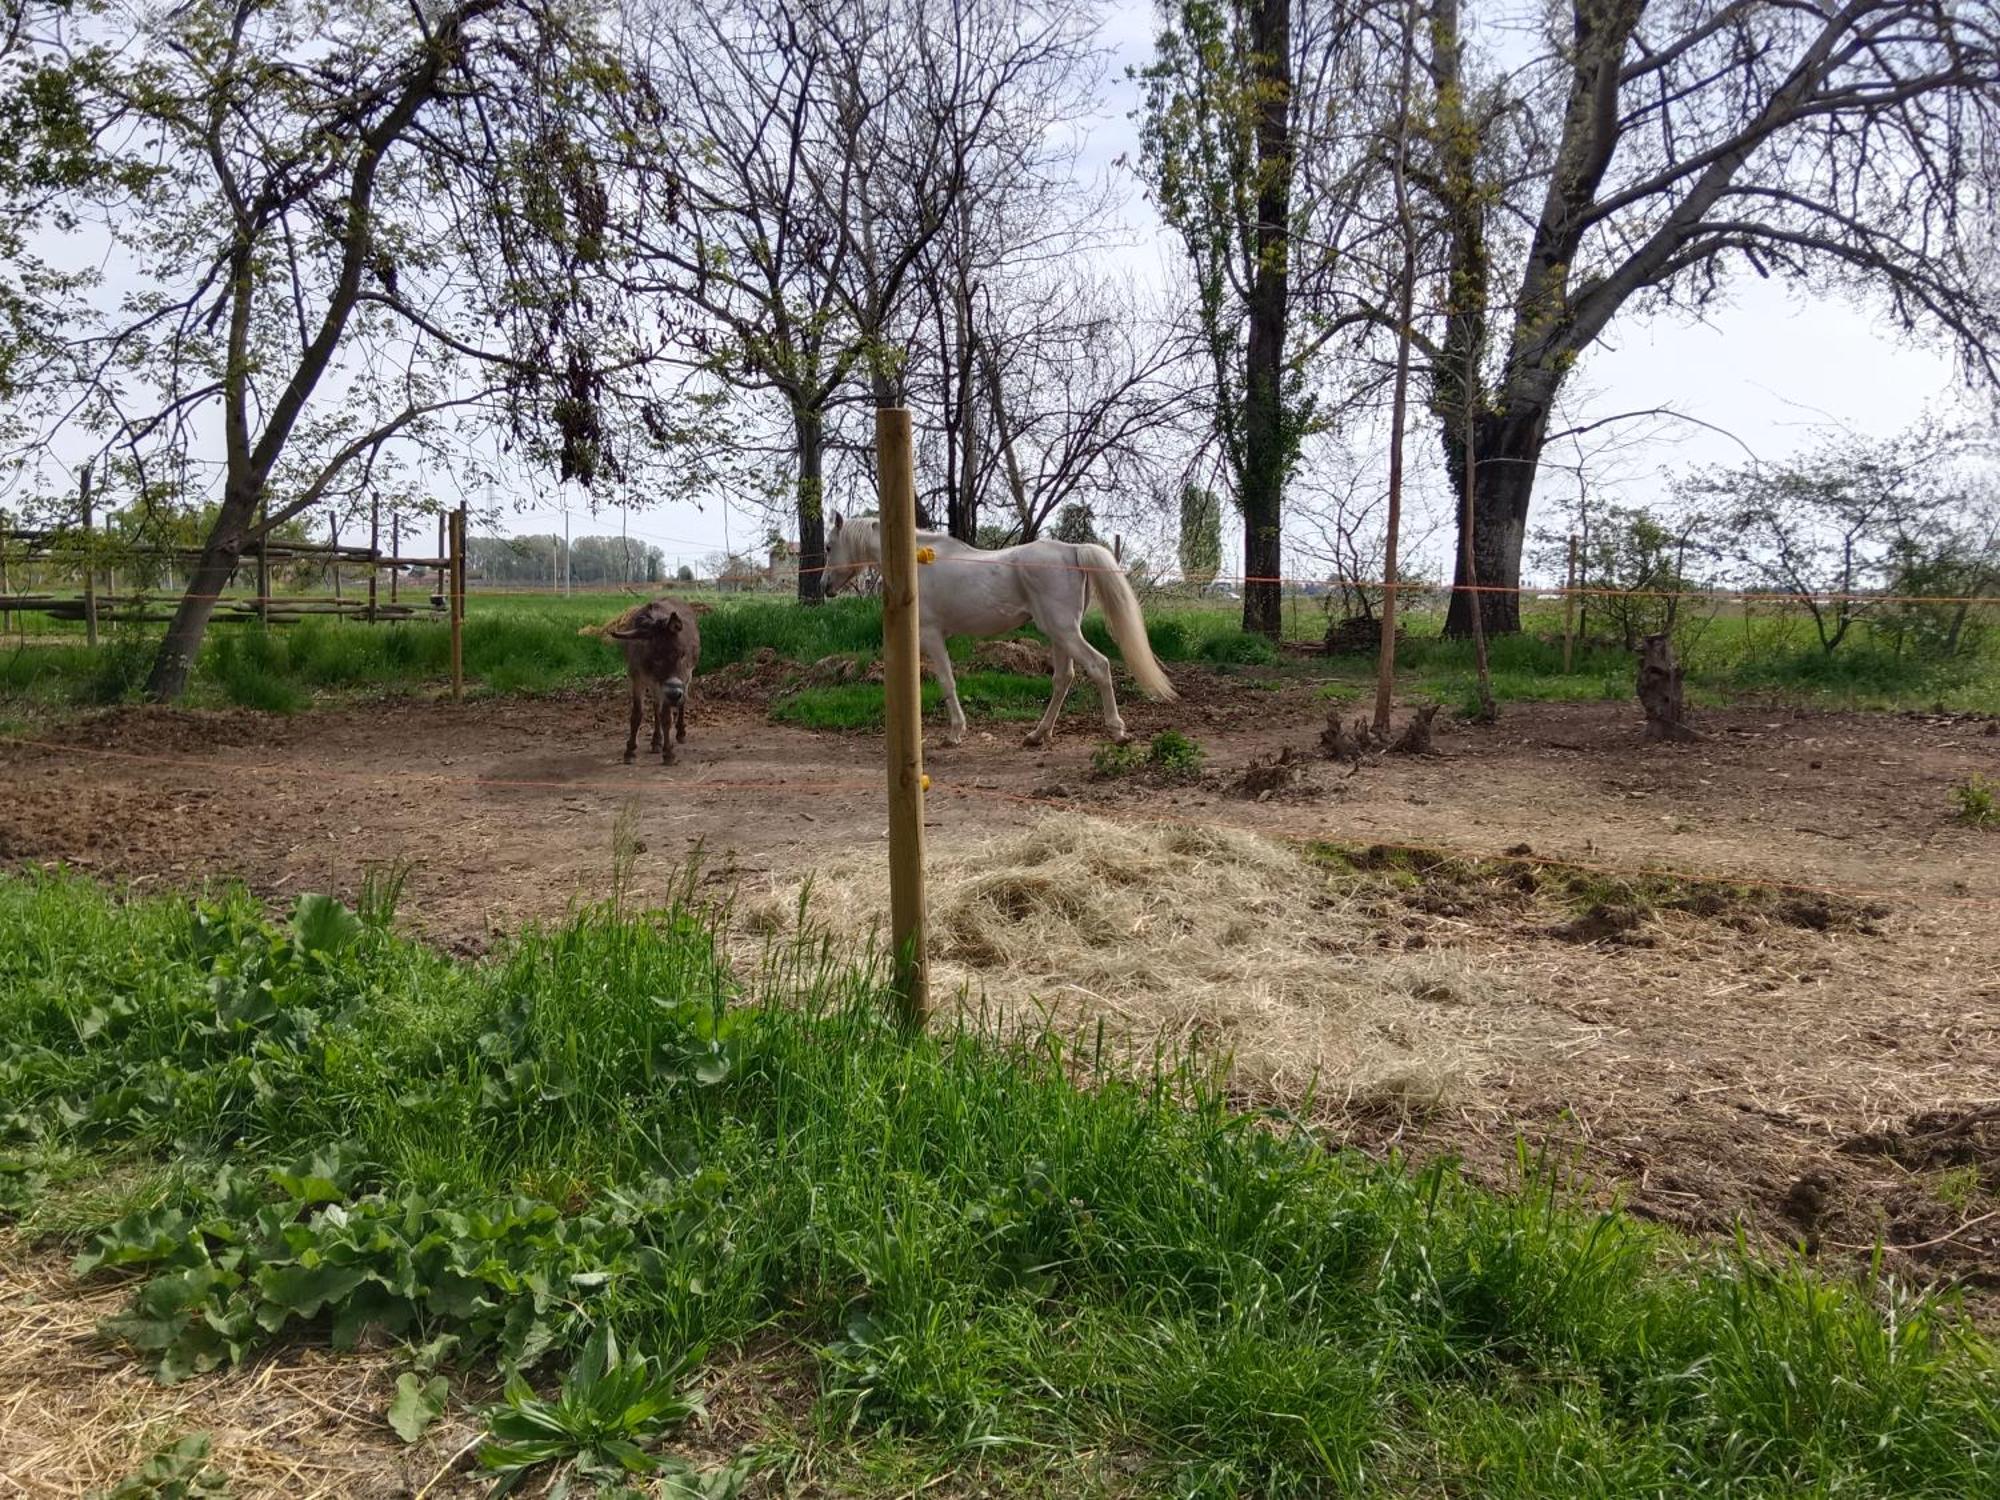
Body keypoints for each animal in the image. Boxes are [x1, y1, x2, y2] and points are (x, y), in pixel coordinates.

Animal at [820, 516, 1176, 752]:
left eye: (828, 546)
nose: (824, 587)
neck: (917, 564)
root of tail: (1073, 550)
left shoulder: (931, 636)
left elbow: (946, 681)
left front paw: (954, 733)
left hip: (1063, 631)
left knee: (1099, 666)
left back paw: (1117, 731)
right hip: (1059, 633)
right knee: (1064, 678)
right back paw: (1037, 735)